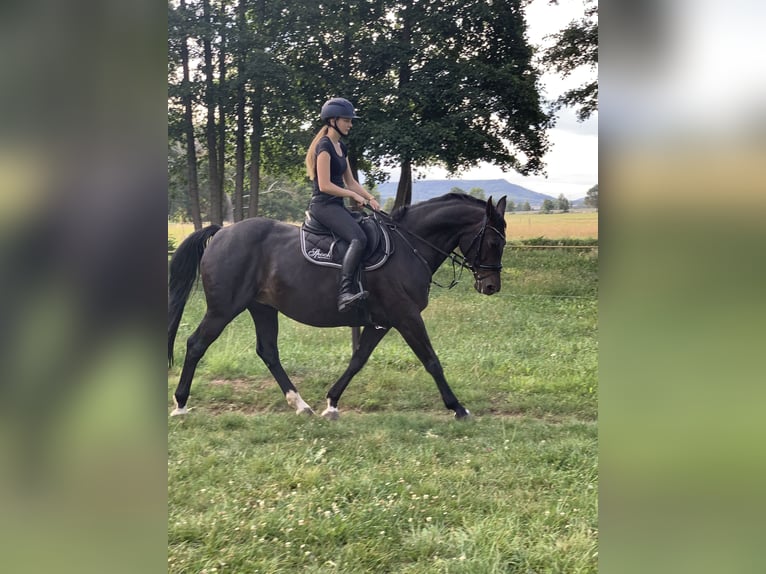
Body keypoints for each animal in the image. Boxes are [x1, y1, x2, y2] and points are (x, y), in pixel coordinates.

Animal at [171, 194, 512, 418]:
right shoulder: (406, 316)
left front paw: (332, 402)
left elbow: (358, 359)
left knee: (268, 351)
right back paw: (180, 404)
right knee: (196, 344)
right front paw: (458, 407)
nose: (491, 286)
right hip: (223, 309)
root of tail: (222, 232)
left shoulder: (384, 321)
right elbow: (431, 361)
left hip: (262, 308)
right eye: (494, 242)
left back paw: (300, 404)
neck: (409, 247)